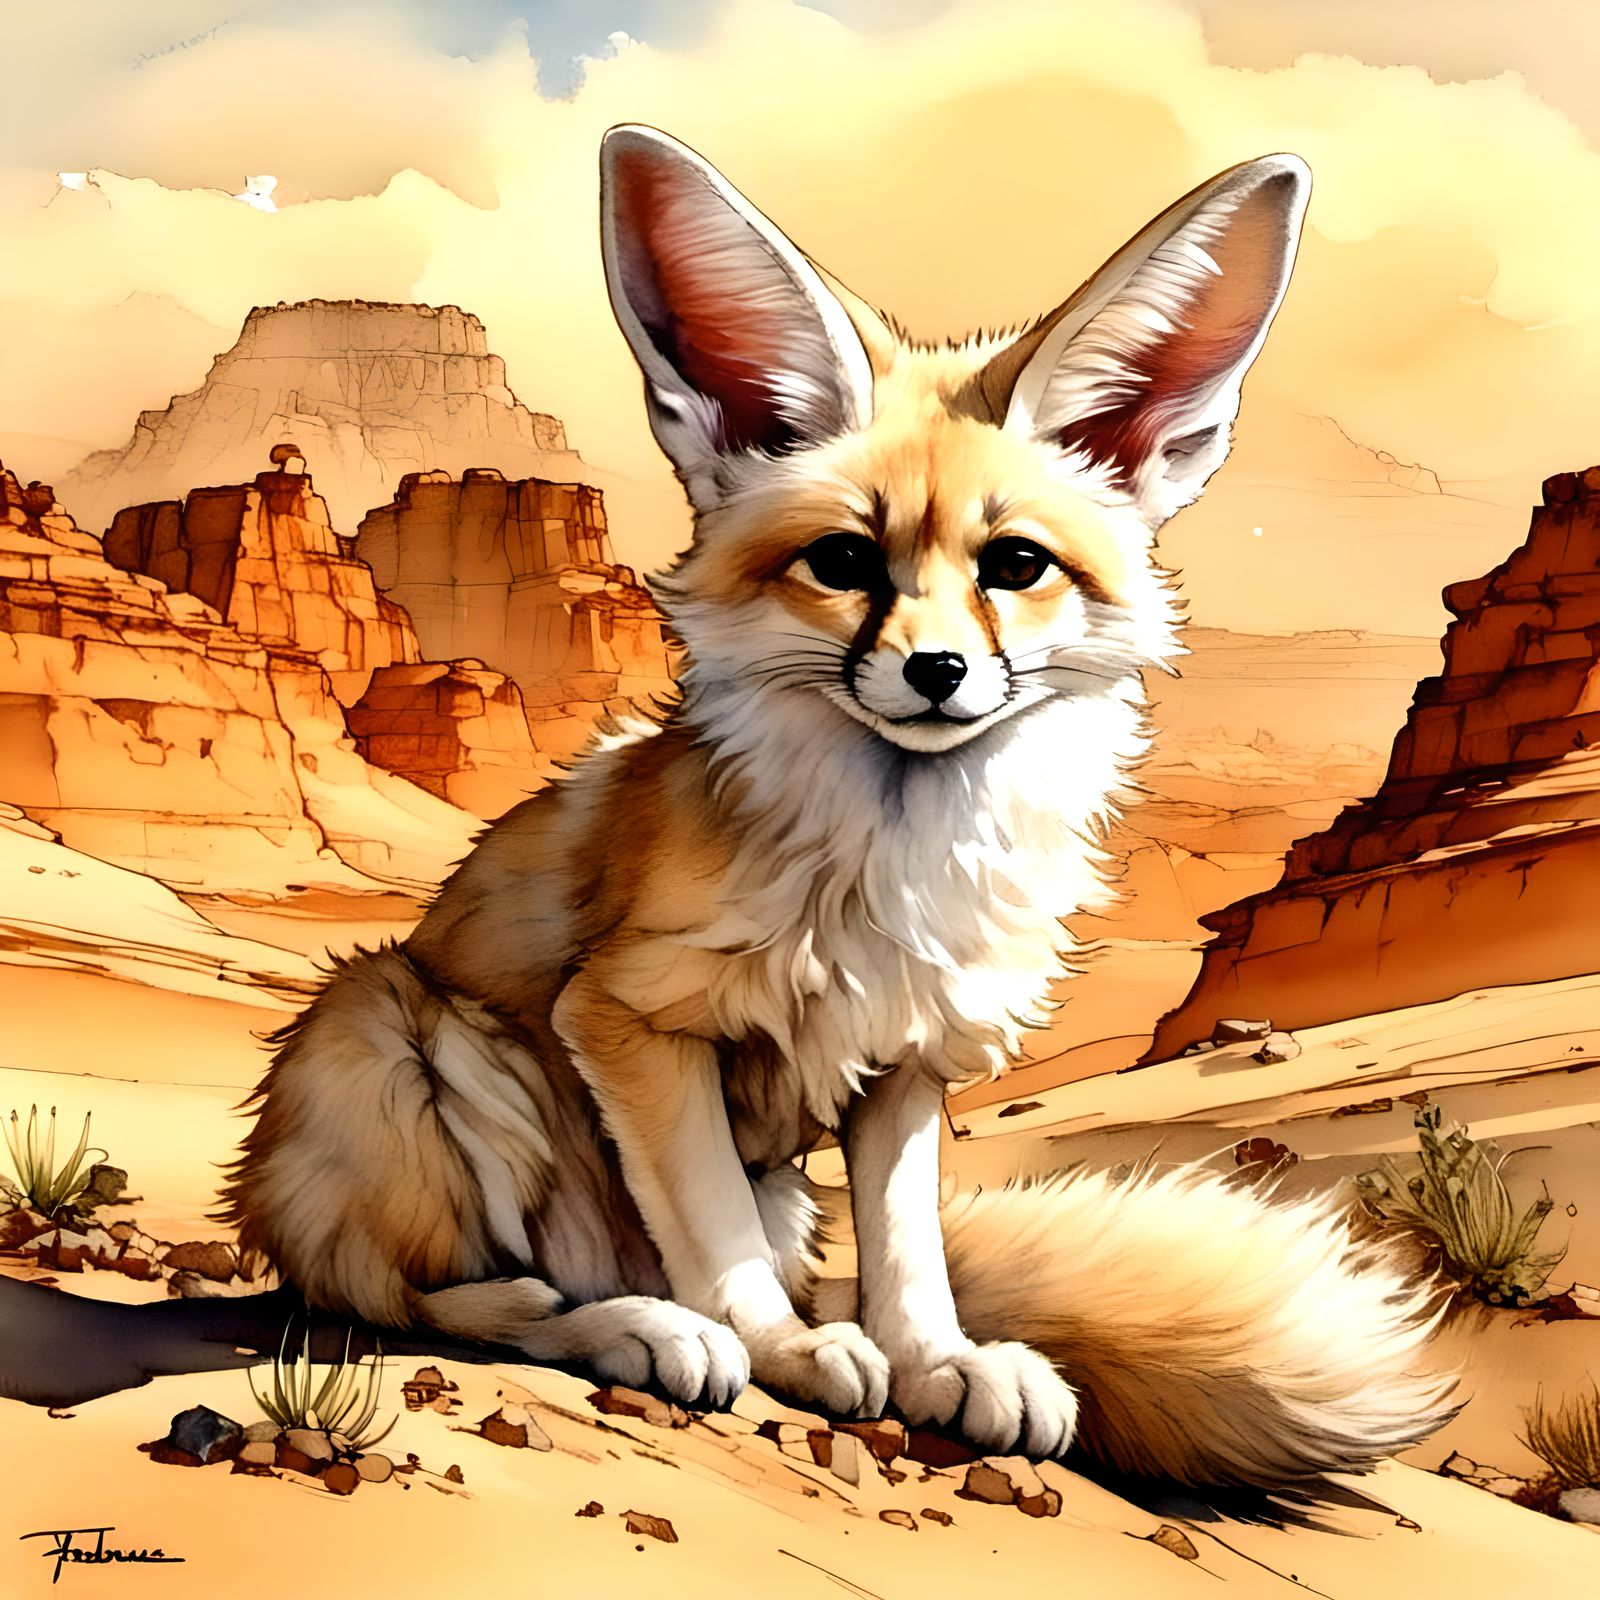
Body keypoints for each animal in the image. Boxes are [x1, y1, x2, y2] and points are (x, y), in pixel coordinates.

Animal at [217, 125, 1456, 1487]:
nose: (936, 671)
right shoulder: (628, 1018)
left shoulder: (912, 1053)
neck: (889, 873)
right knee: (435, 1296)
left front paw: (938, 1364)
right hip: (392, 1035)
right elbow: (717, 1238)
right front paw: (789, 1354)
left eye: (1014, 565)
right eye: (845, 562)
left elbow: (906, 1251)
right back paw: (635, 1324)